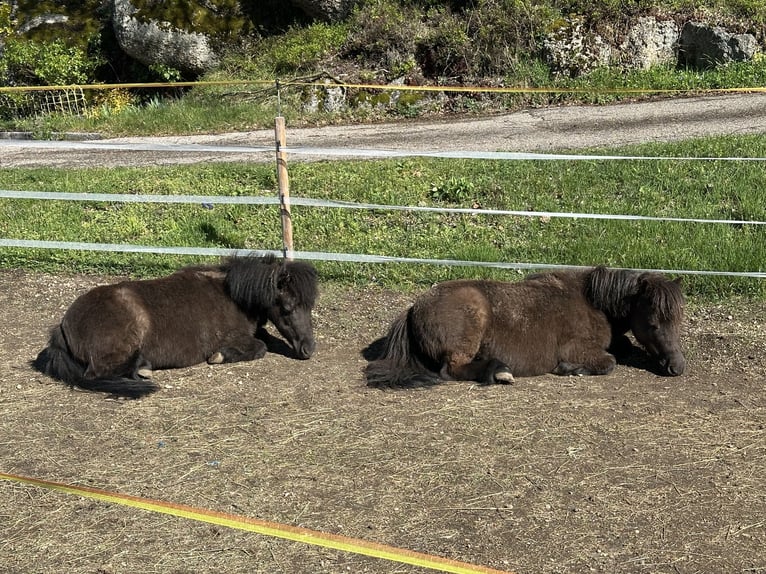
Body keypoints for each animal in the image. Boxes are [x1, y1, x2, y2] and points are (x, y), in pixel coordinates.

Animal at [33, 255, 318, 398]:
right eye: (287, 307)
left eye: (310, 305)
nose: (309, 349)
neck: (232, 296)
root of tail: (63, 326)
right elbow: (260, 347)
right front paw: (219, 356)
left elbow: (267, 339)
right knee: (98, 374)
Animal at [364, 266, 686, 388]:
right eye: (654, 323)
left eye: (678, 321)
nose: (677, 367)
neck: (592, 302)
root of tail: (413, 309)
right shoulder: (578, 348)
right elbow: (609, 362)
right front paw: (573, 370)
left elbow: (624, 347)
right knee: (451, 370)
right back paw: (499, 372)